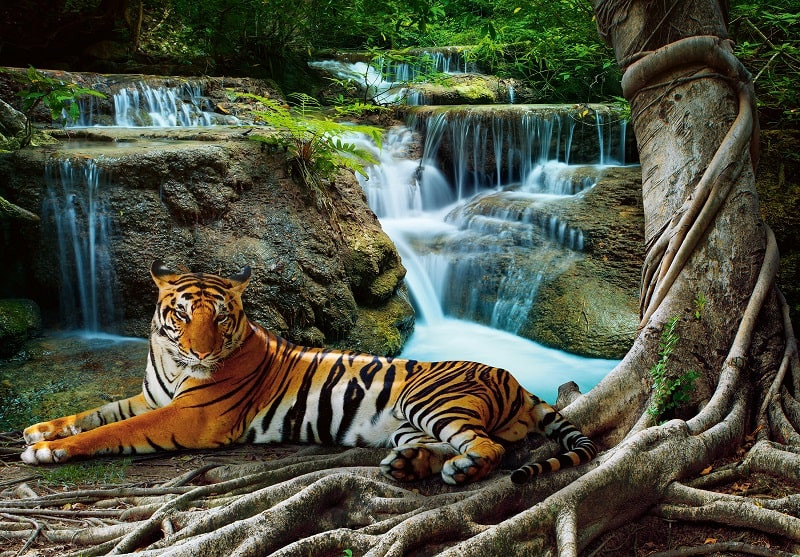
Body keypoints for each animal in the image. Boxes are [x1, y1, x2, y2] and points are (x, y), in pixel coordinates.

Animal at [21, 261, 597, 485]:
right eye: (182, 315)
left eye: (220, 317)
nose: (202, 352)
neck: (169, 359)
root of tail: (515, 380)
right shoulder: (152, 398)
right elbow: (98, 412)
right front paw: (39, 430)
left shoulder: (188, 417)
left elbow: (113, 430)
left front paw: (49, 450)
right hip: (409, 422)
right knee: (446, 446)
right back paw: (407, 465)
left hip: (429, 401)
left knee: (489, 448)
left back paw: (457, 470)